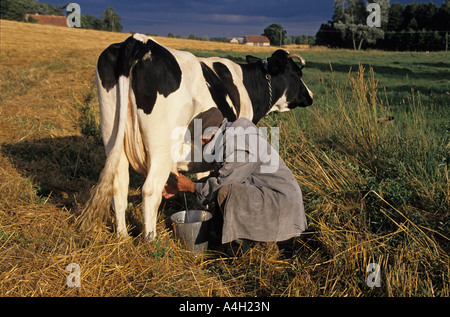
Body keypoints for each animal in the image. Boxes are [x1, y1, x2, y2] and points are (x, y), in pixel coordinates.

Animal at [78, 32, 312, 239]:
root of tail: (139, 40)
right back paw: (150, 240)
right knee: (150, 190)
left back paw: (123, 236)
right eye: (297, 74)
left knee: (118, 186)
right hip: (160, 148)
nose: (310, 96)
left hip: (112, 133)